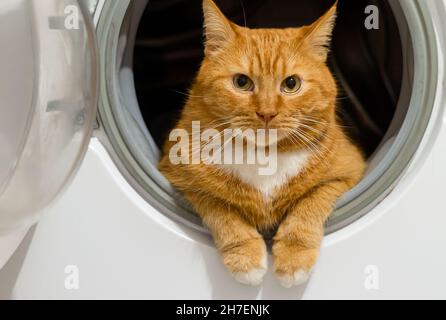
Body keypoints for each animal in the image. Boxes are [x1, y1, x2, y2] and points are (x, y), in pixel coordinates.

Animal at [159, 0, 364, 288]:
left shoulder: (347, 172)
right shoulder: (179, 176)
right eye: (241, 82)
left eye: (291, 83)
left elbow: (310, 203)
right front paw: (245, 256)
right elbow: (220, 209)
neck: (264, 157)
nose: (267, 113)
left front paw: (294, 256)